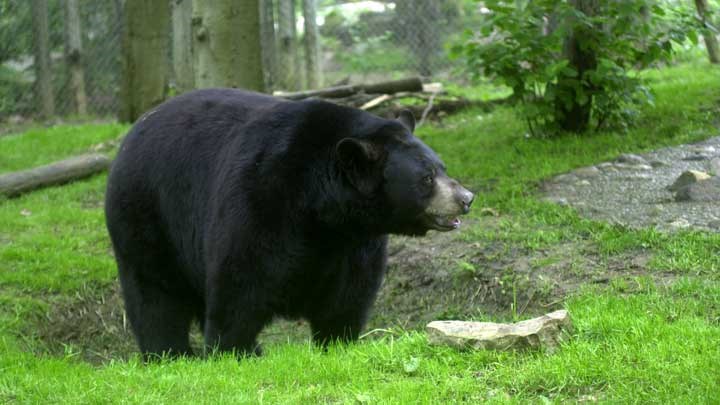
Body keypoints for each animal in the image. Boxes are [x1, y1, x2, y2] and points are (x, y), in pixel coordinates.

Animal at [105, 88, 472, 356]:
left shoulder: (355, 243)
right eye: (426, 178)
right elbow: (240, 284)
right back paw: (169, 352)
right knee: (155, 296)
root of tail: (132, 134)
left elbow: (348, 296)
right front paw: (232, 350)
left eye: (441, 167)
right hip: (147, 214)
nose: (466, 197)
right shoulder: (260, 197)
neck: (323, 212)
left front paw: (337, 341)